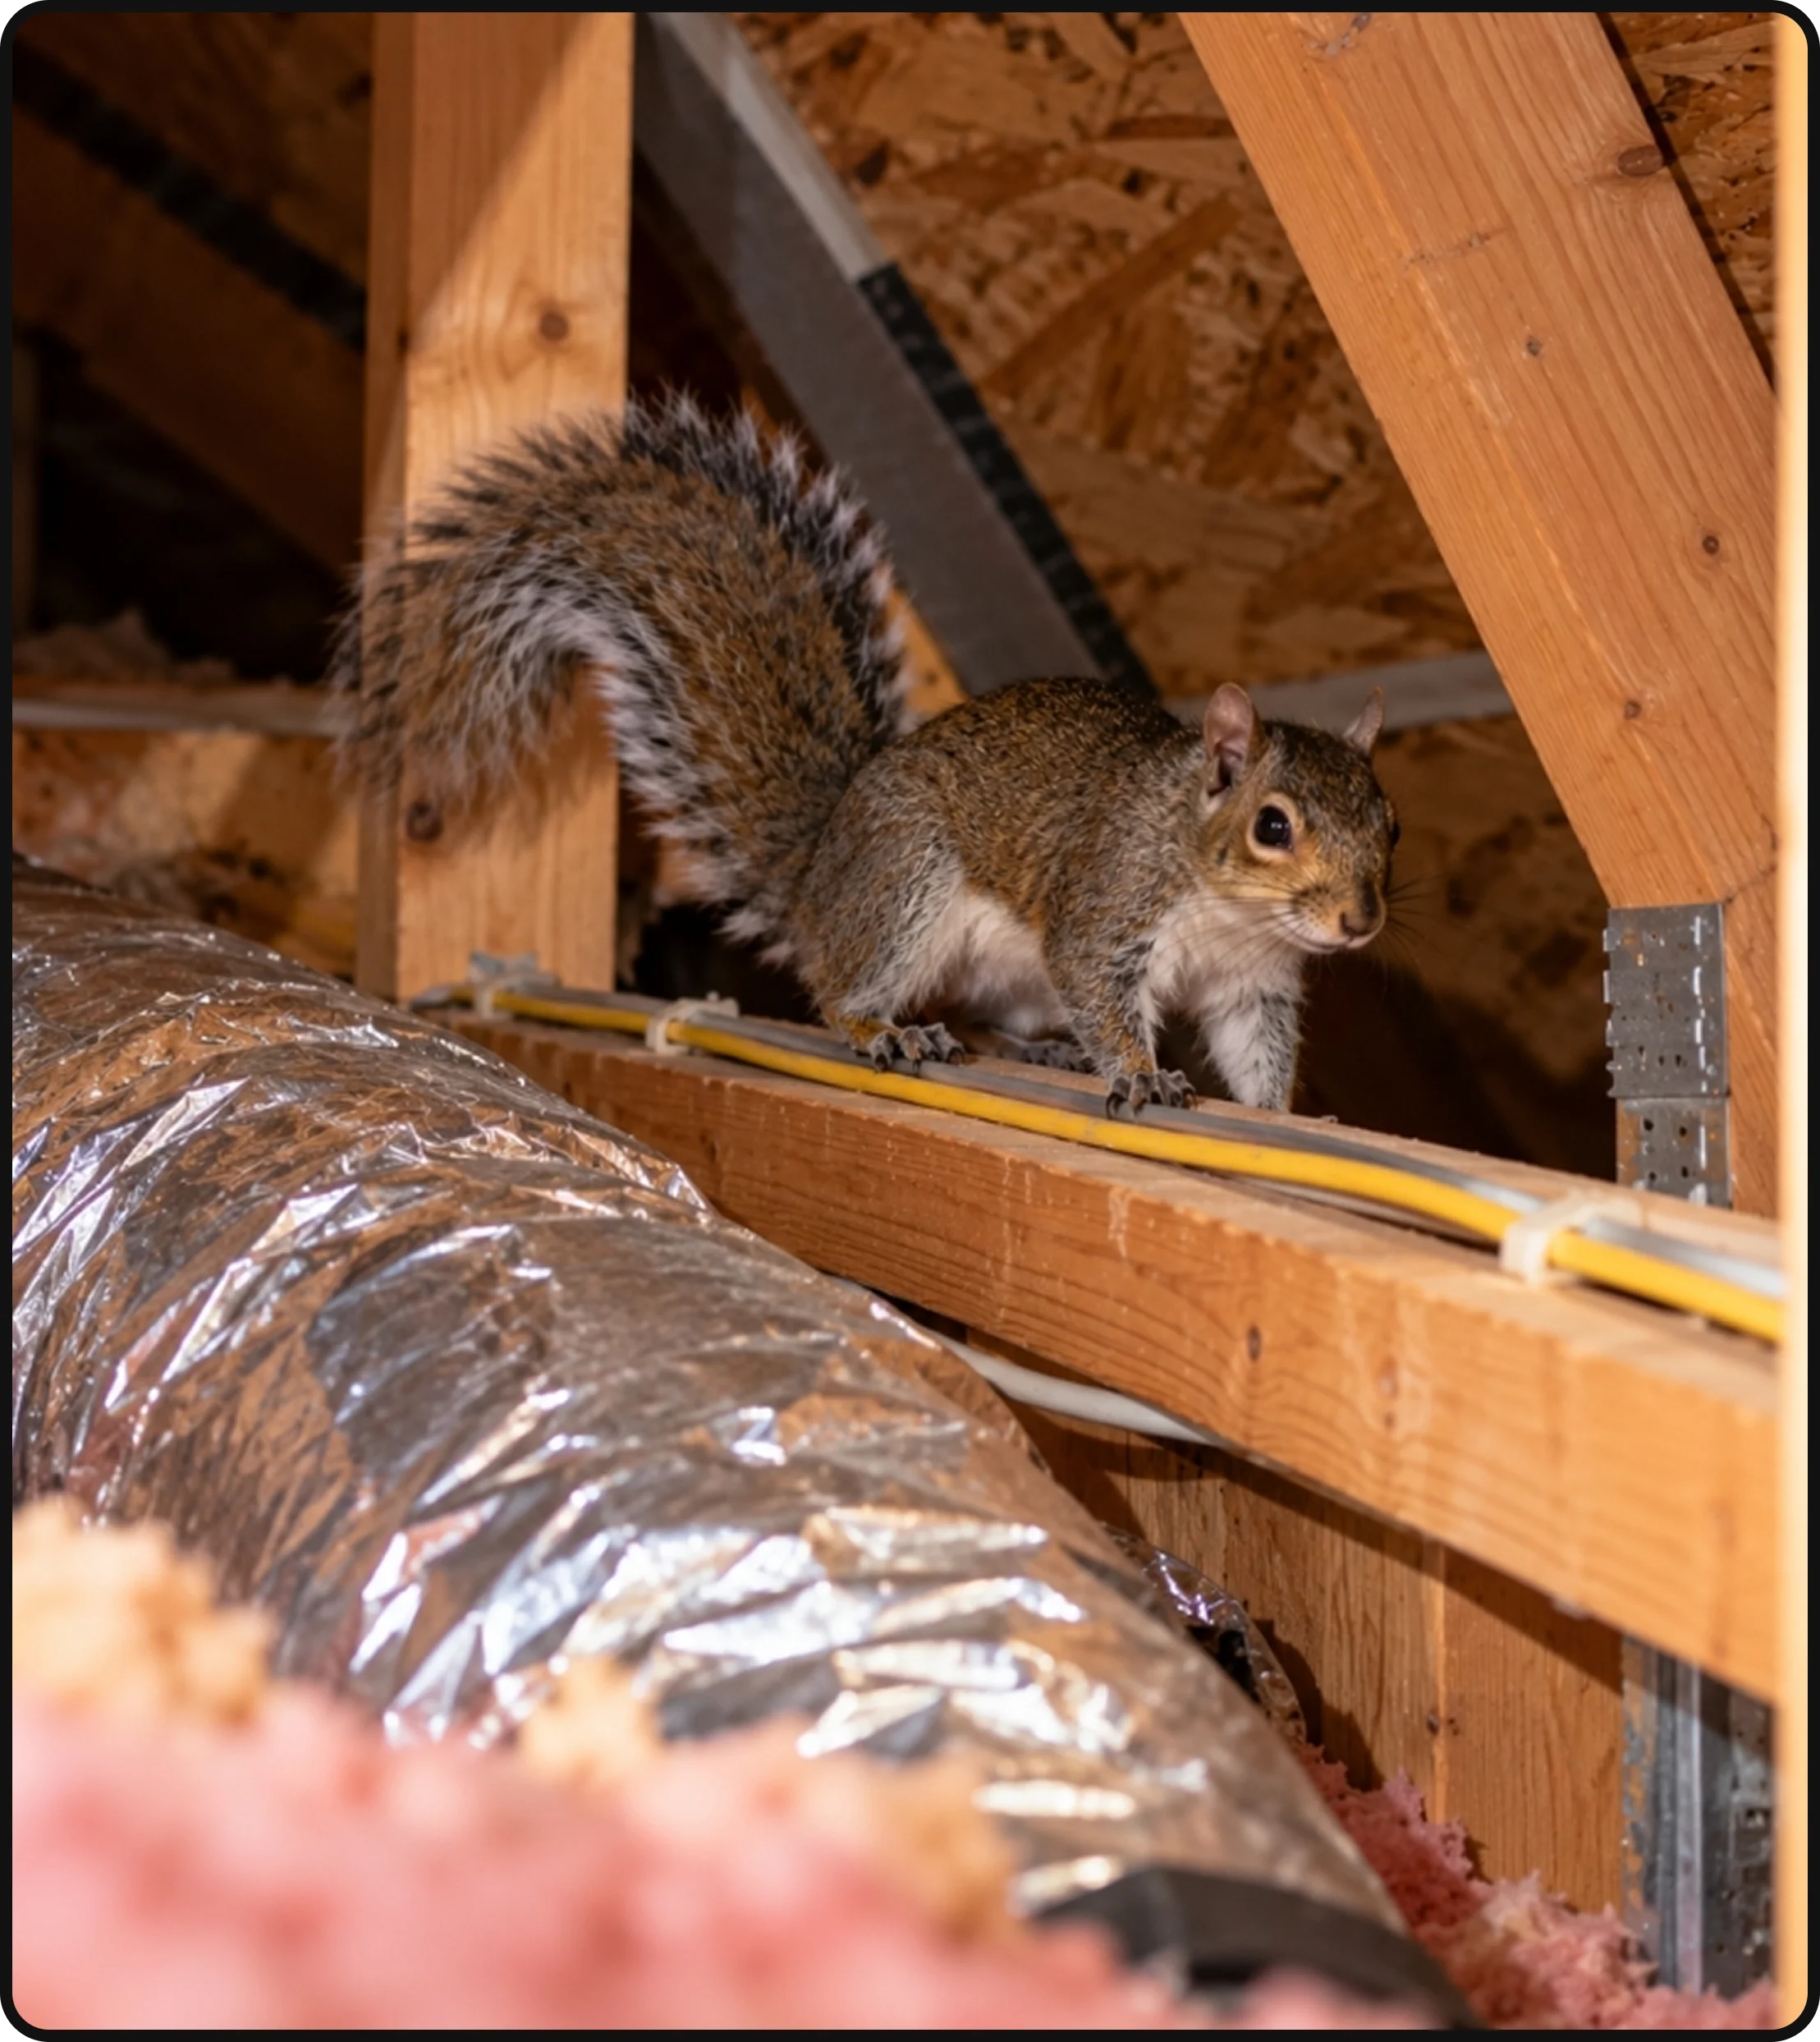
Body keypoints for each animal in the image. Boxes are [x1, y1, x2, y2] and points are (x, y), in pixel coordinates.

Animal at [334, 397, 1398, 1116]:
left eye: (1390, 824)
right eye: (1273, 826)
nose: (1359, 921)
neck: (1228, 907)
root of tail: (817, 879)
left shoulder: (1253, 985)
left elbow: (1257, 1055)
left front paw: (1279, 1114)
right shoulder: (1111, 905)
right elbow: (1100, 989)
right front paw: (1139, 1076)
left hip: (997, 969)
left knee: (989, 1017)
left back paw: (1037, 1051)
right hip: (906, 884)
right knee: (839, 992)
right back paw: (888, 1030)